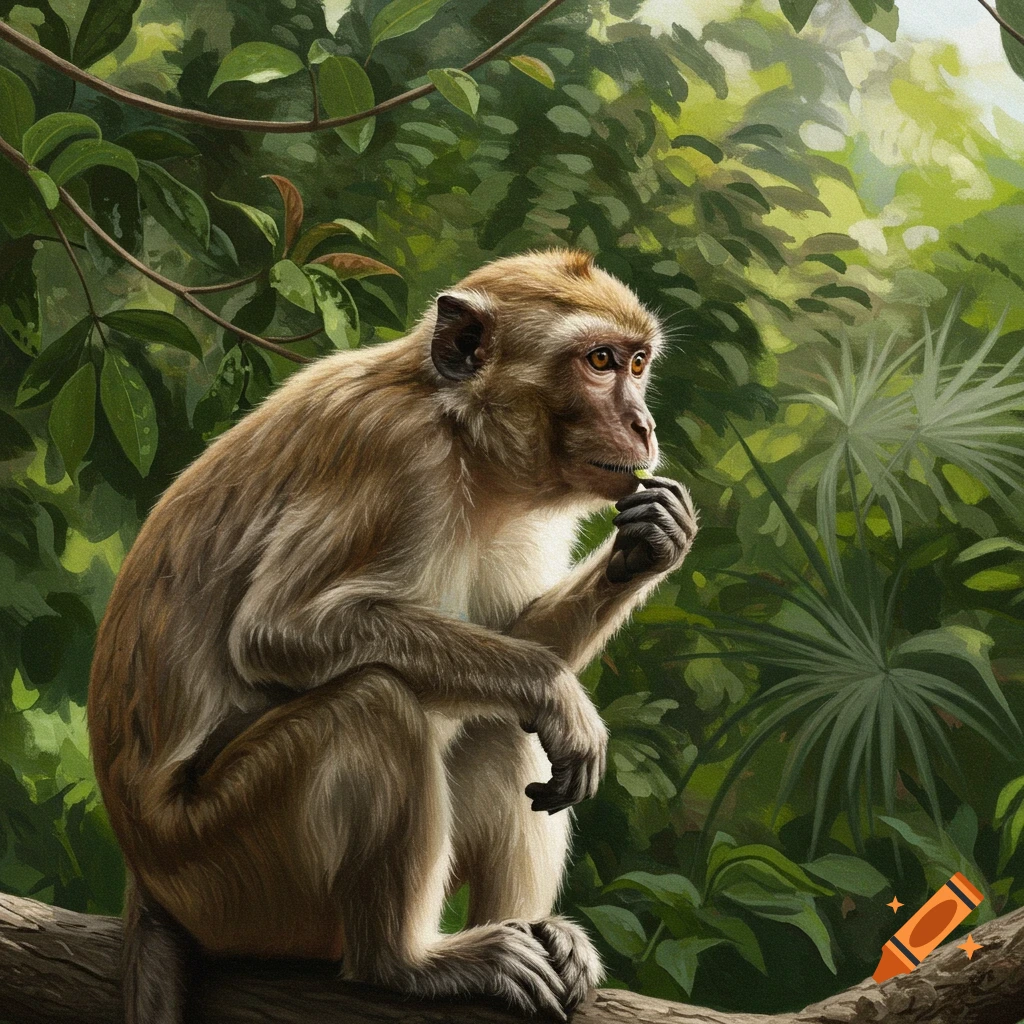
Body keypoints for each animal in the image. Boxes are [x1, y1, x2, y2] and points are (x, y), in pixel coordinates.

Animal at [87, 248, 699, 1023]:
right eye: (599, 361)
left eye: (639, 362)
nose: (644, 424)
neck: (465, 440)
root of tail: (146, 878)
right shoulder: (398, 459)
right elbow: (276, 631)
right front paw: (554, 688)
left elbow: (515, 641)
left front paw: (653, 544)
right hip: (227, 872)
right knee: (375, 703)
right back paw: (403, 964)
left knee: (499, 729)